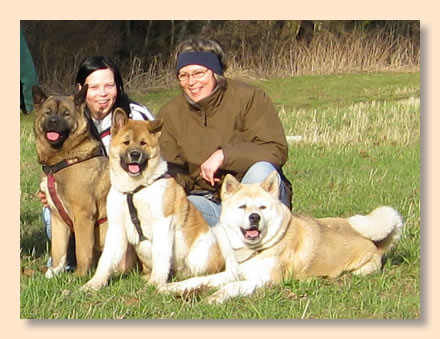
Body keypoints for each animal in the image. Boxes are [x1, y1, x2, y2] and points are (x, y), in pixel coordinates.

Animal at [82, 110, 225, 290]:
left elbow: (160, 255)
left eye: (143, 143)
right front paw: (94, 284)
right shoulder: (116, 227)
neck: (135, 190)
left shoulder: (162, 223)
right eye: (126, 142)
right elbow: (106, 259)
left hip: (197, 258)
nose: (135, 154)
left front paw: (155, 283)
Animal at [160, 171, 404, 304]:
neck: (255, 249)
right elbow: (198, 280)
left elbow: (230, 288)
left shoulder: (263, 280)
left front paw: (213, 298)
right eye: (242, 206)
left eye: (262, 207)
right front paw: (173, 287)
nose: (255, 217)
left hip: (361, 267)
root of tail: (375, 244)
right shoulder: (232, 273)